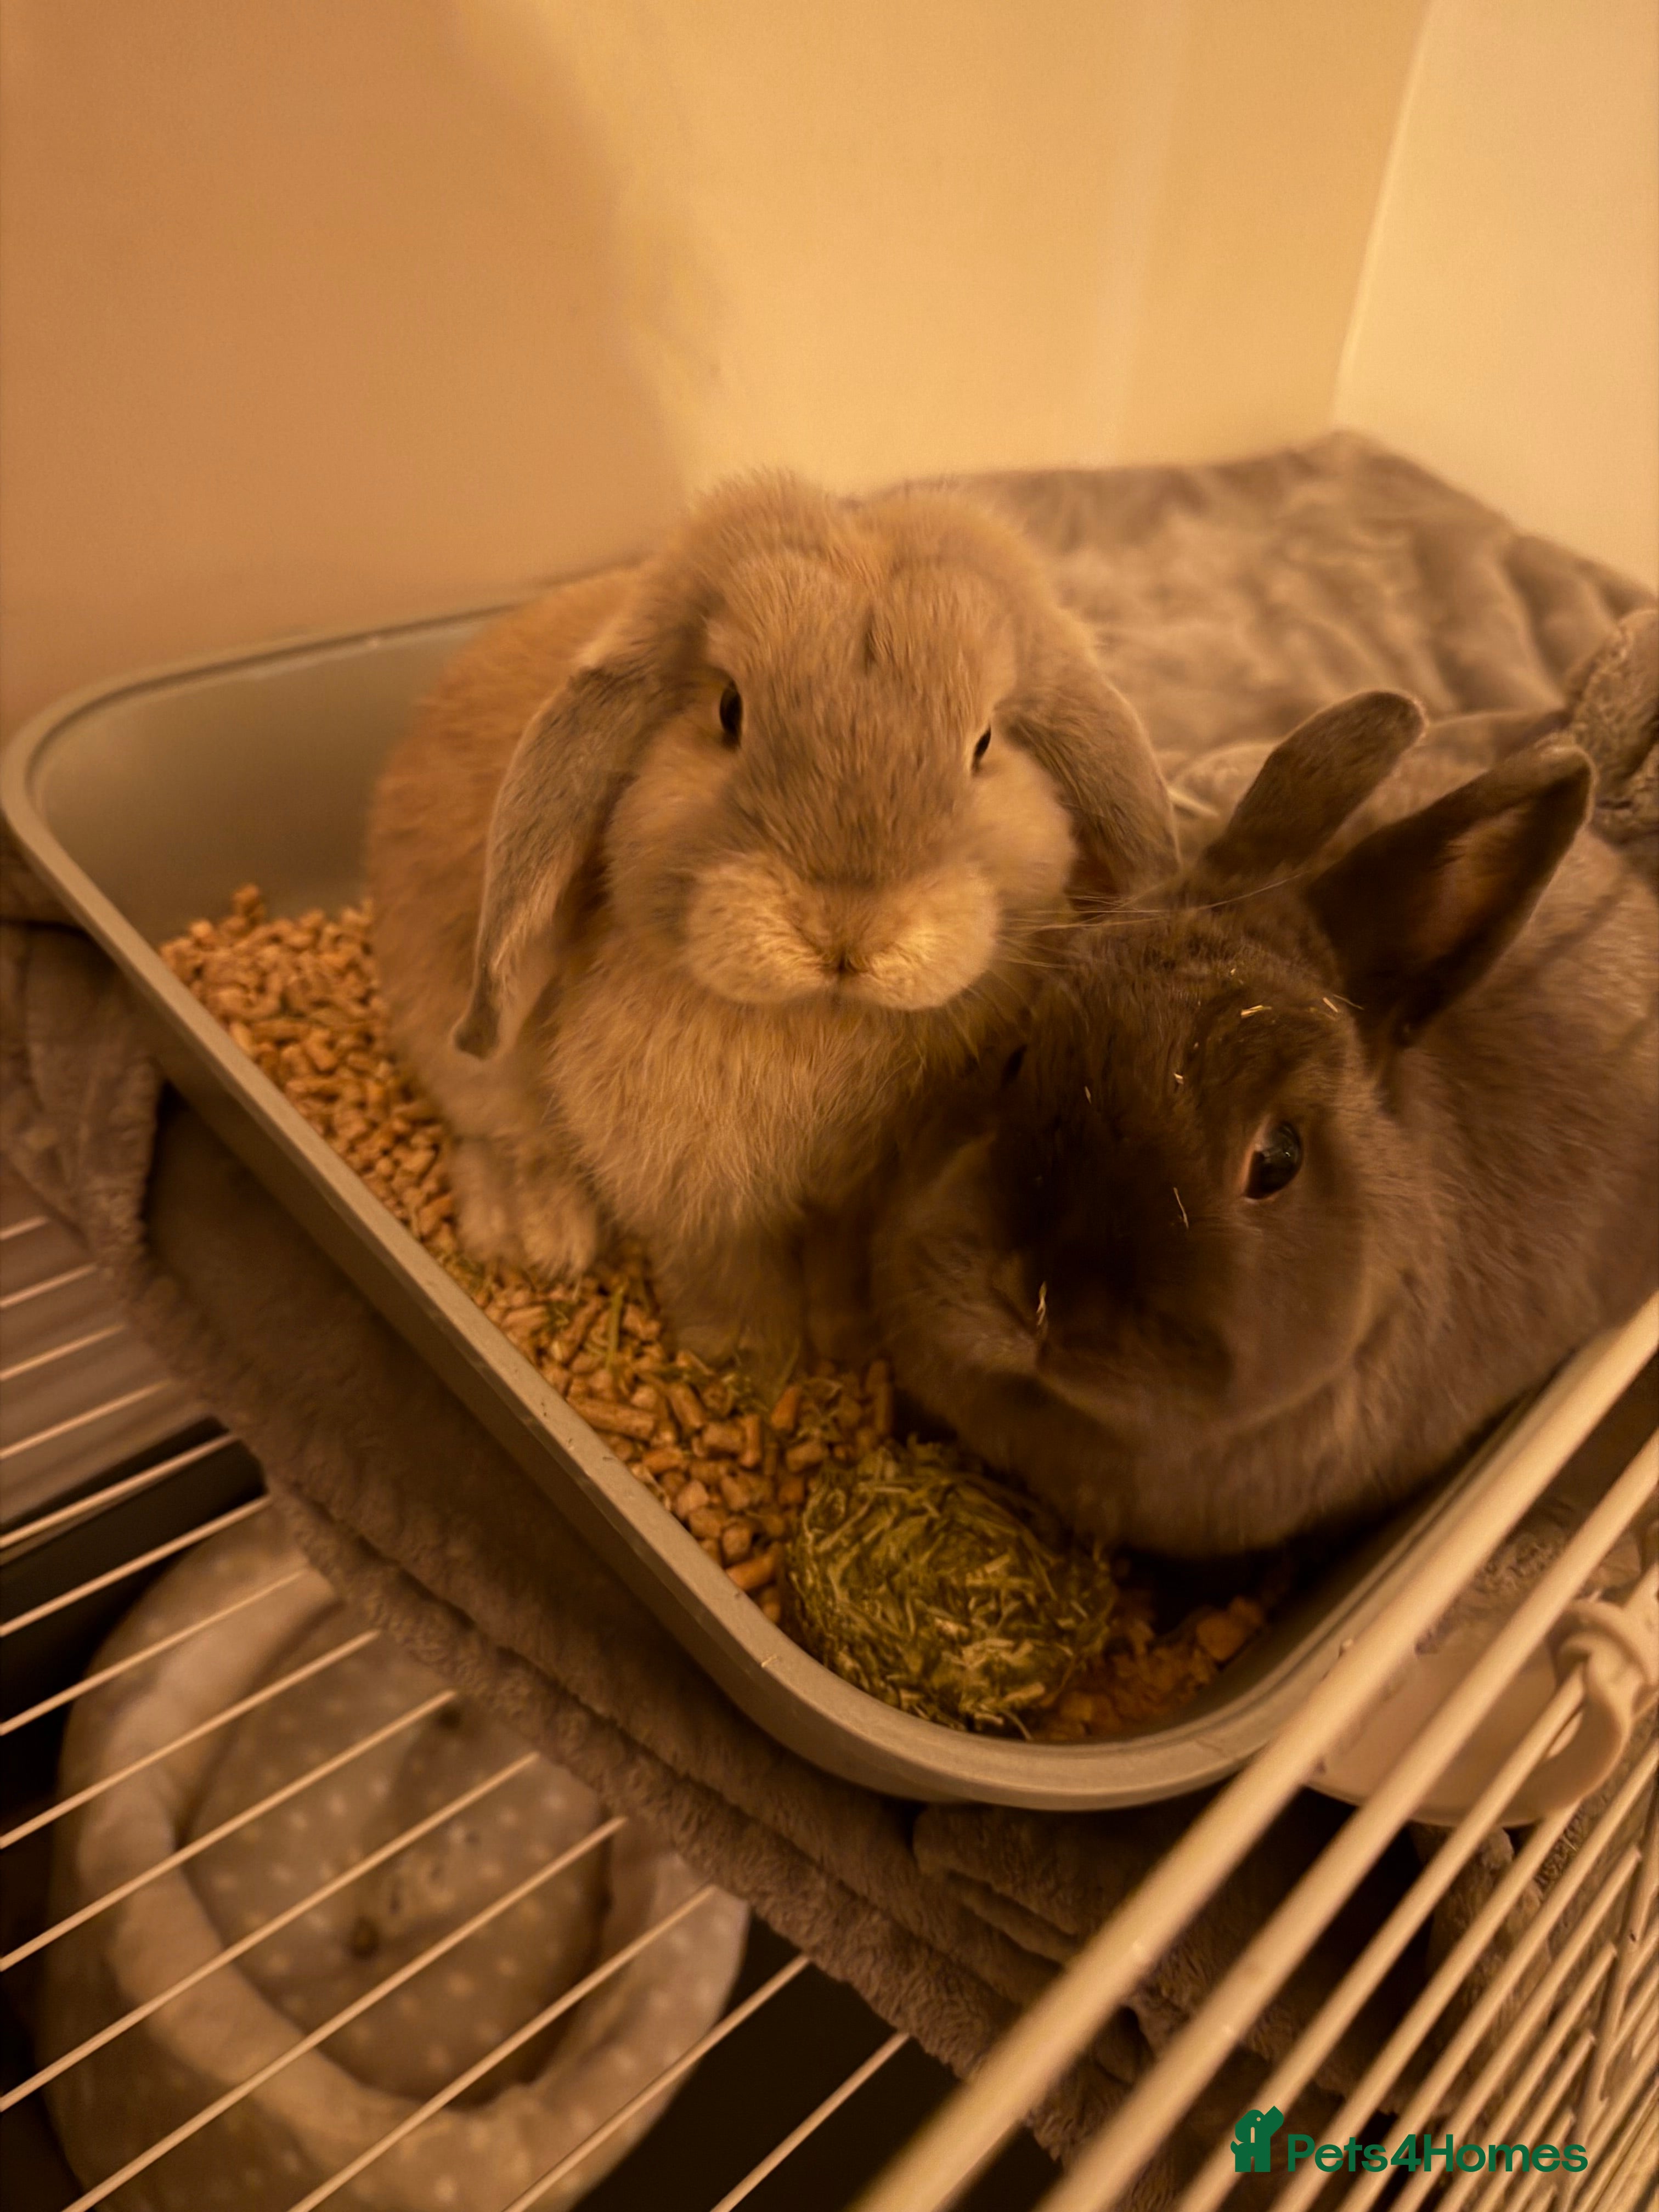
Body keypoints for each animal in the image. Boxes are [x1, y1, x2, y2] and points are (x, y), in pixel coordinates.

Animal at [366, 471, 1178, 1381]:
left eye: (984, 742)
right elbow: (722, 1263)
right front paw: (747, 1353)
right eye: (730, 710)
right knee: (497, 1127)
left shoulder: (855, 1203)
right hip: (462, 1041)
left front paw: (847, 1344)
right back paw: (538, 1232)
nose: (847, 931)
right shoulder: (695, 1190)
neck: (823, 1020)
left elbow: (839, 1263)